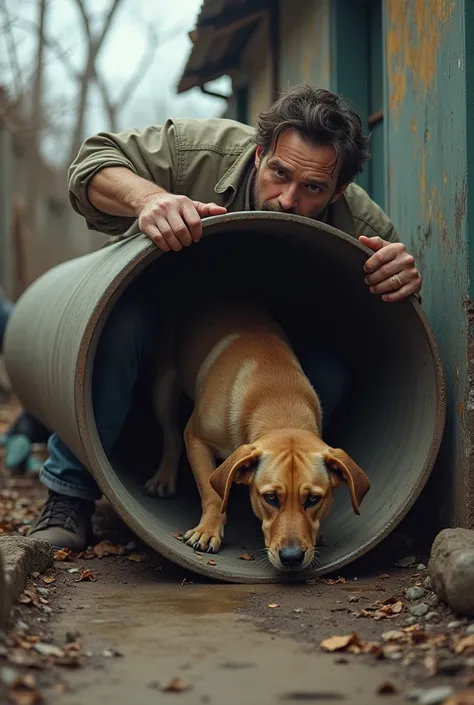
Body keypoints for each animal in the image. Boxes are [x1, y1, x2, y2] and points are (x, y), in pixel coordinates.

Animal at [145, 296, 370, 572]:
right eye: (270, 497)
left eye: (313, 499)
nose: (292, 558)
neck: (279, 401)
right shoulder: (197, 437)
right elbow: (212, 491)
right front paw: (208, 531)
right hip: (163, 386)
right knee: (171, 437)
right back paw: (163, 479)